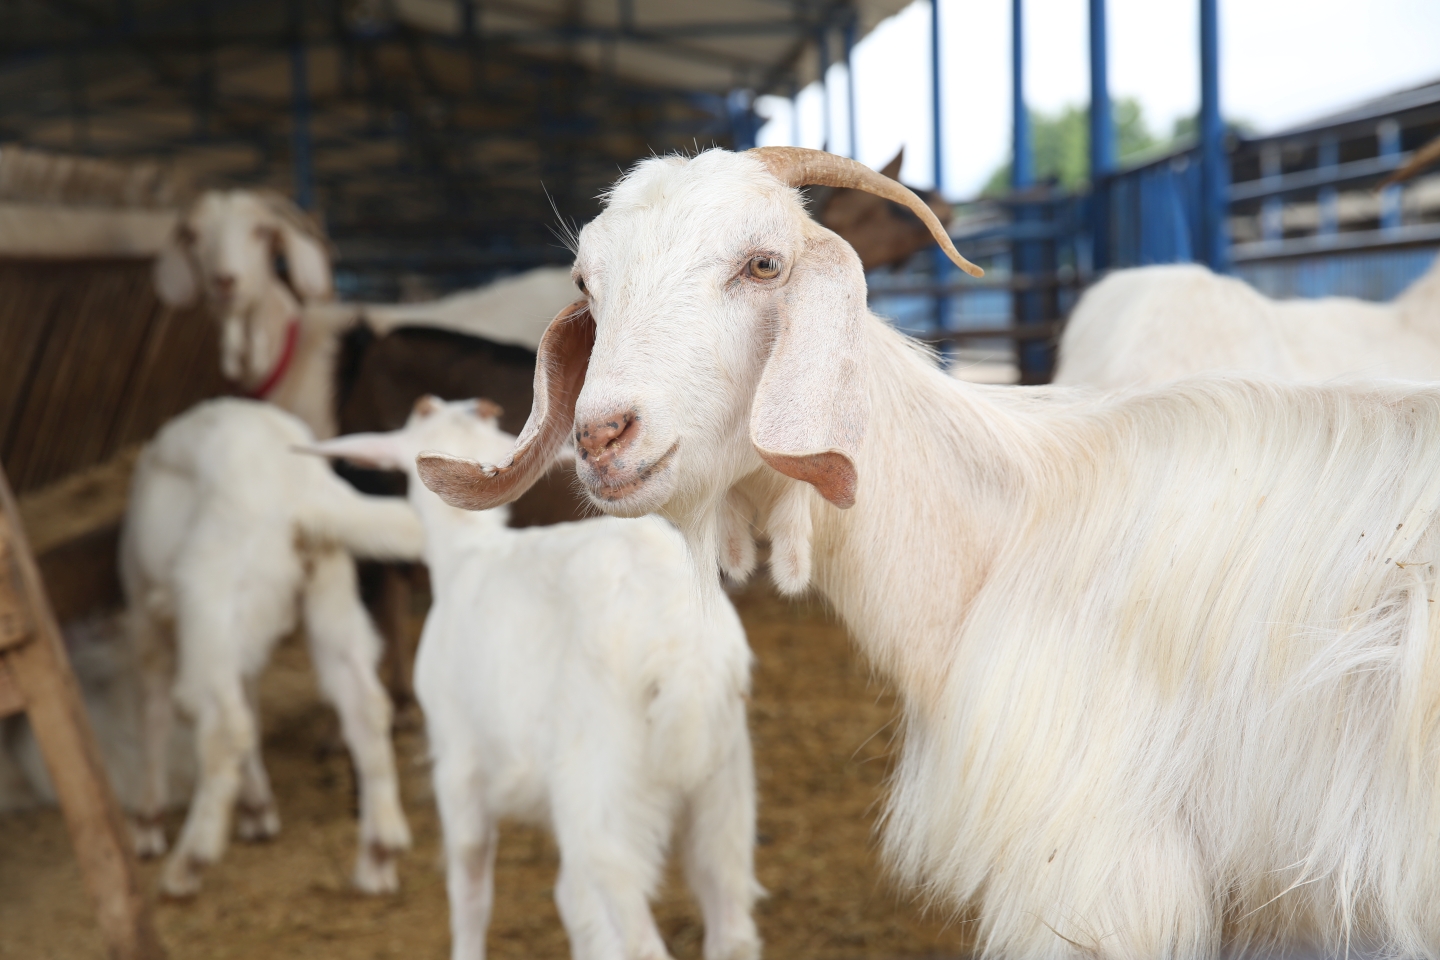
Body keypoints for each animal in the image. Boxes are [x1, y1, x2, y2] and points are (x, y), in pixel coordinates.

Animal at [122, 400, 420, 903]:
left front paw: (147, 824)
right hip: (331, 593)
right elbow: (251, 702)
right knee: (364, 705)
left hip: (211, 606)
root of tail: (301, 487)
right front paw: (257, 809)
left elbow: (153, 711)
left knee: (224, 727)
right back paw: (378, 854)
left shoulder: (147, 617)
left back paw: (188, 863)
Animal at [312, 397, 766, 960]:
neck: (467, 550)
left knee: (641, 941)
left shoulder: (458, 762)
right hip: (724, 792)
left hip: (603, 799)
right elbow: (577, 912)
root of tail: (684, 660)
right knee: (731, 927)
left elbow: (469, 886)